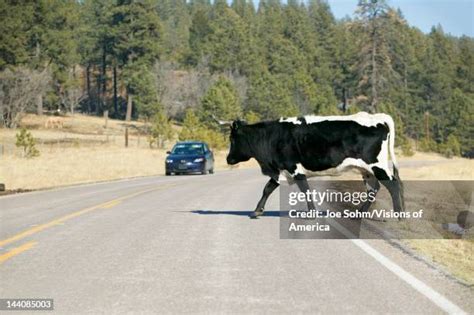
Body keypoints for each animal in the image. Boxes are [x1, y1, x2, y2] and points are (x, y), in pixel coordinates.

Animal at [225, 112, 404, 218]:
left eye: (232, 139)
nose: (228, 159)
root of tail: (376, 117)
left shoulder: (293, 168)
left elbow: (305, 189)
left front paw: (311, 212)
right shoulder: (280, 170)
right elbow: (268, 188)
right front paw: (257, 211)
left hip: (377, 165)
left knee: (393, 184)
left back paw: (399, 214)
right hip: (366, 170)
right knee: (374, 188)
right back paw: (359, 213)